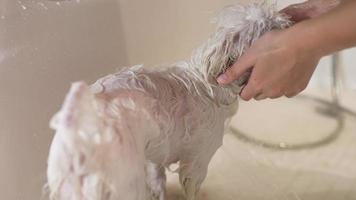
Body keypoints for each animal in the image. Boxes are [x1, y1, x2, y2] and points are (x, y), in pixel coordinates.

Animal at [46, 3, 290, 200]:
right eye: (269, 28)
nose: (289, 24)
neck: (211, 83)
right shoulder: (198, 160)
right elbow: (191, 189)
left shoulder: (157, 150)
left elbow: (157, 178)